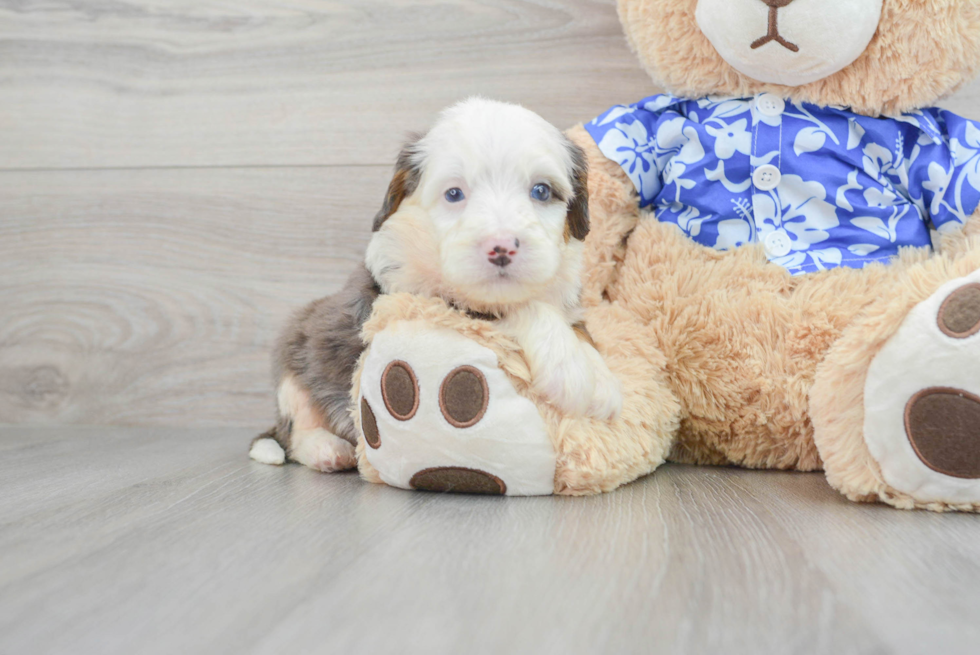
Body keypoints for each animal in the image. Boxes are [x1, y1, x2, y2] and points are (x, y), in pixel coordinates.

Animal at [249, 98, 624, 472]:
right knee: (296, 429)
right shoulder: (423, 299)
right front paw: (571, 373)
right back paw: (326, 449)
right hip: (292, 366)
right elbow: (519, 309)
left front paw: (602, 380)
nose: (502, 247)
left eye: (541, 191)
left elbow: (578, 326)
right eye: (454, 193)